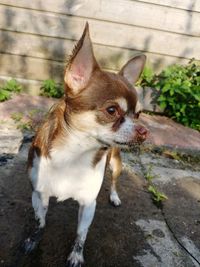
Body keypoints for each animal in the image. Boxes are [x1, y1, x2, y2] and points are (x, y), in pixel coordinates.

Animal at [24, 23, 147, 267]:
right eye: (112, 110)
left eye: (138, 114)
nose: (144, 131)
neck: (74, 154)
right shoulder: (38, 195)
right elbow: (40, 221)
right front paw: (34, 239)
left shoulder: (88, 204)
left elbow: (81, 234)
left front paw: (76, 256)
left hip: (116, 163)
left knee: (115, 181)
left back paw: (115, 197)